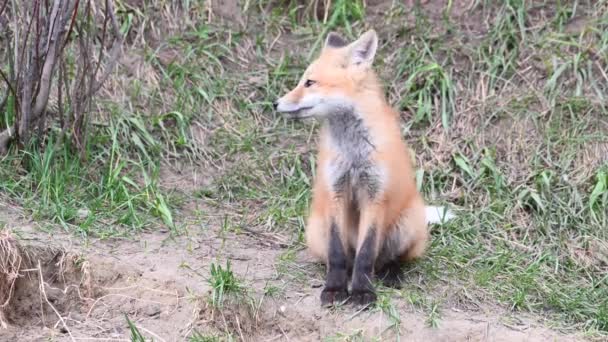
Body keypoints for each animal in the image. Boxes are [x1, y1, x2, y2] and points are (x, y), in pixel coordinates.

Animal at [274, 29, 454, 306]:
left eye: (309, 83)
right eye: (302, 81)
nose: (275, 103)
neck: (353, 154)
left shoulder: (375, 195)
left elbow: (366, 254)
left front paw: (362, 292)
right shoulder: (335, 191)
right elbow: (337, 255)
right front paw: (334, 289)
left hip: (405, 227)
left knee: (386, 259)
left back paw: (391, 274)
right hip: (317, 229)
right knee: (343, 258)